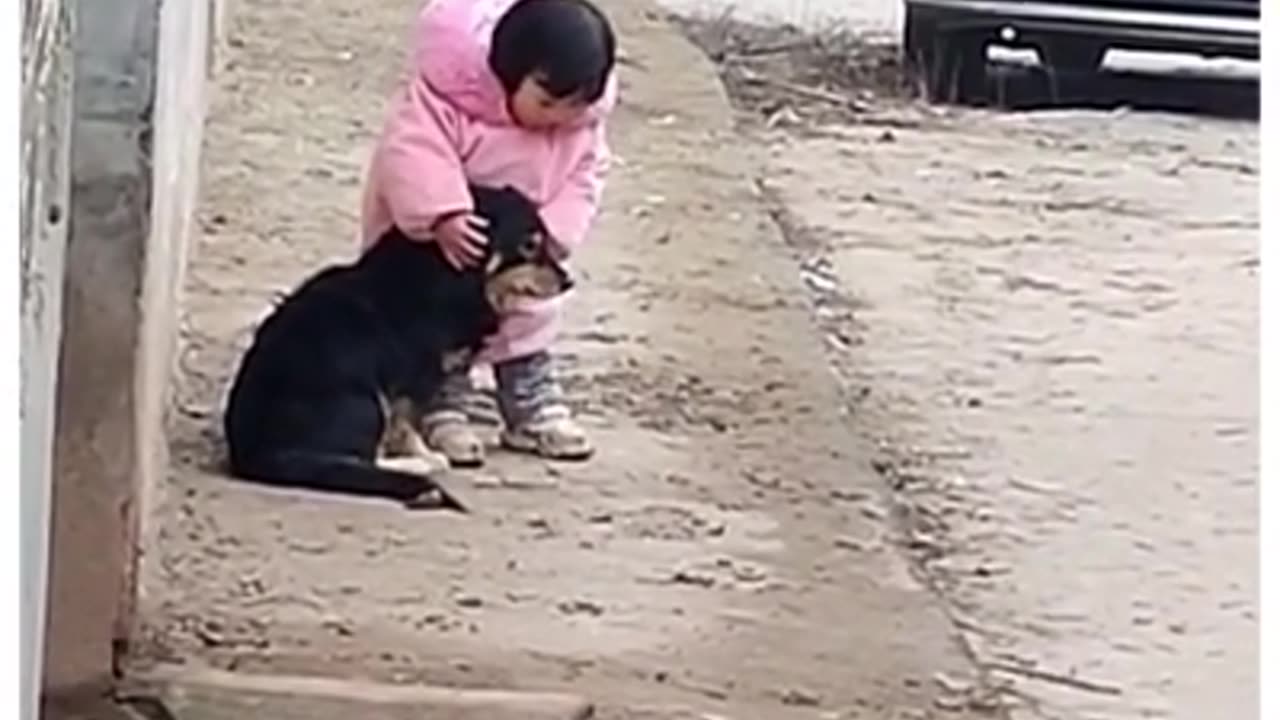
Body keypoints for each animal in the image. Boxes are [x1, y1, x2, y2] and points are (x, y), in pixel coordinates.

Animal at [222, 184, 573, 509]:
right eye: (530, 245)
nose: (569, 282)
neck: (447, 274)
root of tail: (257, 452)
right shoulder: (414, 380)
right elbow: (406, 426)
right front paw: (425, 454)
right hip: (367, 402)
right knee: (362, 460)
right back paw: (418, 468)